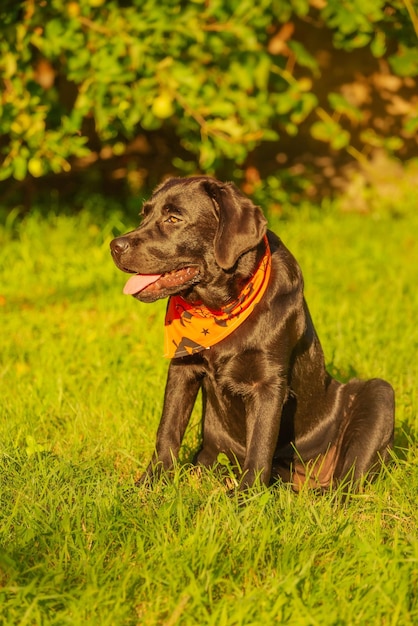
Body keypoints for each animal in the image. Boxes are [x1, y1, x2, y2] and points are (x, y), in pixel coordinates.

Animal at [109, 174, 394, 488]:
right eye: (144, 214)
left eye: (173, 218)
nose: (115, 245)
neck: (220, 308)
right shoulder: (182, 366)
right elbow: (168, 429)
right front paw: (150, 483)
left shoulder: (268, 382)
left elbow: (260, 445)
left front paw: (247, 495)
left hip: (380, 394)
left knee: (346, 482)